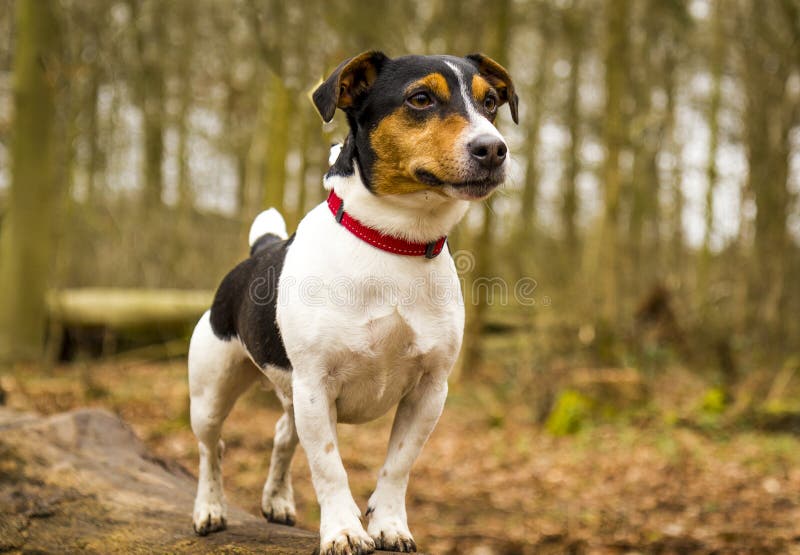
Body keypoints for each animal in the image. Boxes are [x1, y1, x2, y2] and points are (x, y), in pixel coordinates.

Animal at [189, 52, 520, 555]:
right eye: (420, 98)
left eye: (490, 103)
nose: (494, 149)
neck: (394, 243)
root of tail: (260, 249)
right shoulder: (315, 386)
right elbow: (329, 467)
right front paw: (344, 530)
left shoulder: (429, 391)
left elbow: (398, 465)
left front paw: (389, 524)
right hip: (211, 393)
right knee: (214, 448)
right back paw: (209, 509)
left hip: (290, 395)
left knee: (282, 436)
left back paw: (277, 500)